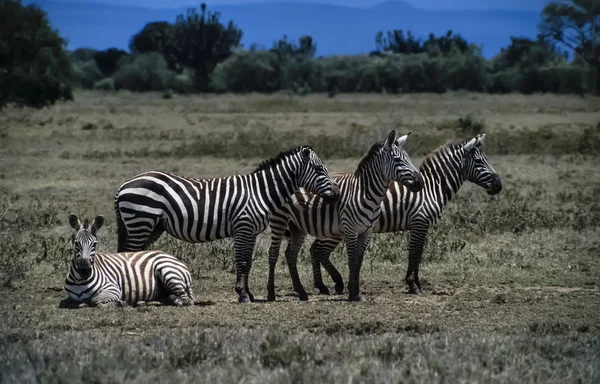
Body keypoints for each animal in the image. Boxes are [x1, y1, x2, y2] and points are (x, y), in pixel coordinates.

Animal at [58, 213, 196, 308]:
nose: (85, 270)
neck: (80, 281)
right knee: (167, 298)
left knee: (185, 300)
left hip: (168, 272)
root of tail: (176, 259)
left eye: (95, 244)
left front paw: (120, 303)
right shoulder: (71, 297)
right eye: (76, 243)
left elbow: (95, 300)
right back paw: (144, 302)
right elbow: (64, 302)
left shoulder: (112, 289)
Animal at [112, 144, 338, 304]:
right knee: (129, 254)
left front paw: (248, 293)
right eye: (320, 169)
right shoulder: (243, 226)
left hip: (152, 227)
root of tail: (124, 185)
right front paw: (243, 294)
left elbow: (247, 262)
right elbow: (242, 261)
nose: (336, 195)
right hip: (141, 220)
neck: (260, 192)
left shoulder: (252, 232)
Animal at [264, 130, 424, 302]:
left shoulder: (366, 232)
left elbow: (359, 261)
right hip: (279, 220)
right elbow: (352, 260)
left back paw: (301, 292)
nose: (420, 183)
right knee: (273, 253)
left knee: (291, 254)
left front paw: (357, 292)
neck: (364, 193)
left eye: (408, 158)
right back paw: (271, 293)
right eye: (398, 160)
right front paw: (353, 293)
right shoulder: (351, 230)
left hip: (296, 226)